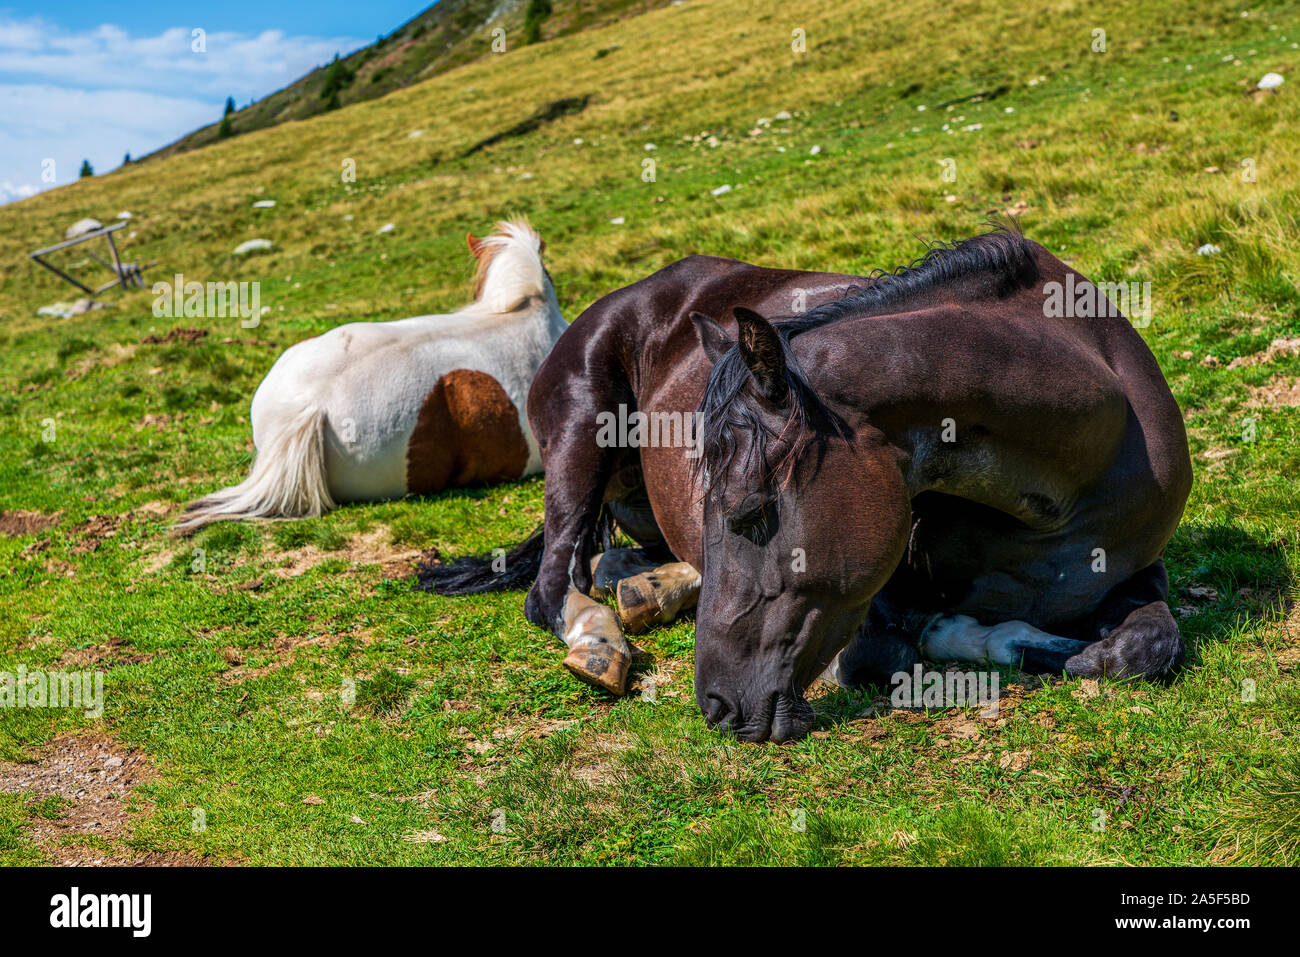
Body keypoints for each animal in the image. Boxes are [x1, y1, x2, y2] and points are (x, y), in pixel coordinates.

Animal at [420, 226, 1192, 743]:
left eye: (750, 513)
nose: (716, 706)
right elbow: (900, 644)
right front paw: (993, 636)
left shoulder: (1138, 570)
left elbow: (1147, 645)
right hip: (583, 431)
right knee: (556, 583)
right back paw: (602, 640)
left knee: (610, 560)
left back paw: (651, 588)